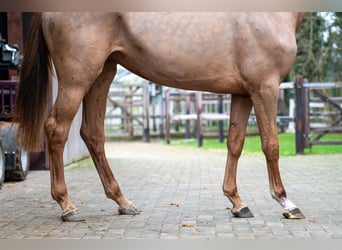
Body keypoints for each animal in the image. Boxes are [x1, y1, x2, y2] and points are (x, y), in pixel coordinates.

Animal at [14, 12, 306, 222]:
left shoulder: (243, 92)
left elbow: (235, 143)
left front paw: (237, 203)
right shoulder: (265, 87)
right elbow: (271, 145)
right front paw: (287, 203)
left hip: (103, 73)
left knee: (92, 133)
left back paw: (123, 202)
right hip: (77, 78)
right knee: (56, 129)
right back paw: (67, 207)